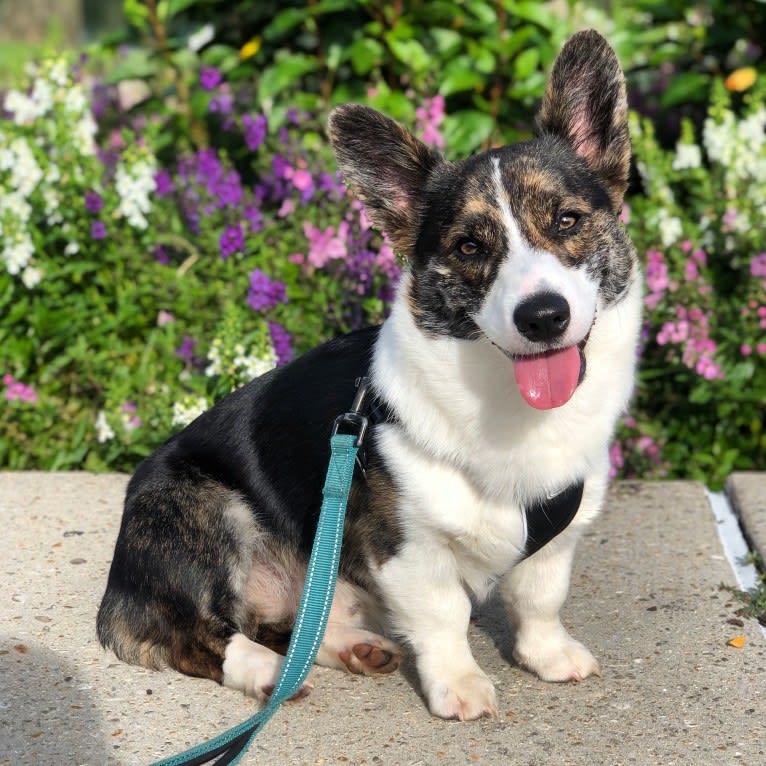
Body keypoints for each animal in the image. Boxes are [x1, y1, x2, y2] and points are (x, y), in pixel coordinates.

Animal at [99, 30, 644, 724]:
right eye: (469, 246)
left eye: (568, 221)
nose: (543, 315)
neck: (505, 404)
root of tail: (118, 590)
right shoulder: (403, 548)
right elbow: (443, 617)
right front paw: (460, 686)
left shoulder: (556, 538)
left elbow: (540, 595)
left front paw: (549, 656)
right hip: (205, 509)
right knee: (199, 635)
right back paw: (264, 671)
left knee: (298, 622)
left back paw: (352, 647)